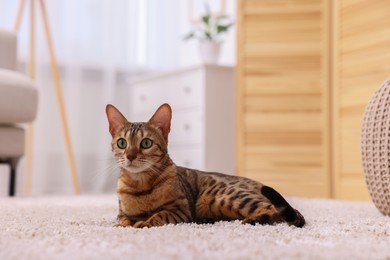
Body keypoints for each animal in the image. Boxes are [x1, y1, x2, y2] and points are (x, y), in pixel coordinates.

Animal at [106, 103, 304, 228]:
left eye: (146, 143)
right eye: (122, 143)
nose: (130, 155)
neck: (140, 186)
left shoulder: (180, 209)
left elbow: (159, 215)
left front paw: (144, 223)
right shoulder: (122, 213)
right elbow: (124, 220)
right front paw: (123, 226)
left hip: (225, 195)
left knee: (275, 209)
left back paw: (253, 220)